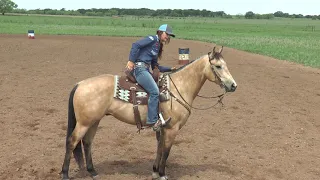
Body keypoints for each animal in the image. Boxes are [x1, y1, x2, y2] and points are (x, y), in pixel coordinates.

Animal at [61, 45, 238, 179]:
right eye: (218, 66)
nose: (233, 85)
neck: (178, 87)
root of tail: (80, 84)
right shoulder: (172, 129)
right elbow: (166, 151)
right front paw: (162, 174)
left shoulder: (163, 128)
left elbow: (159, 148)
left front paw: (155, 172)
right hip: (84, 123)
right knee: (72, 142)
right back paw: (65, 174)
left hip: (94, 121)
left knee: (87, 142)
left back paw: (92, 172)